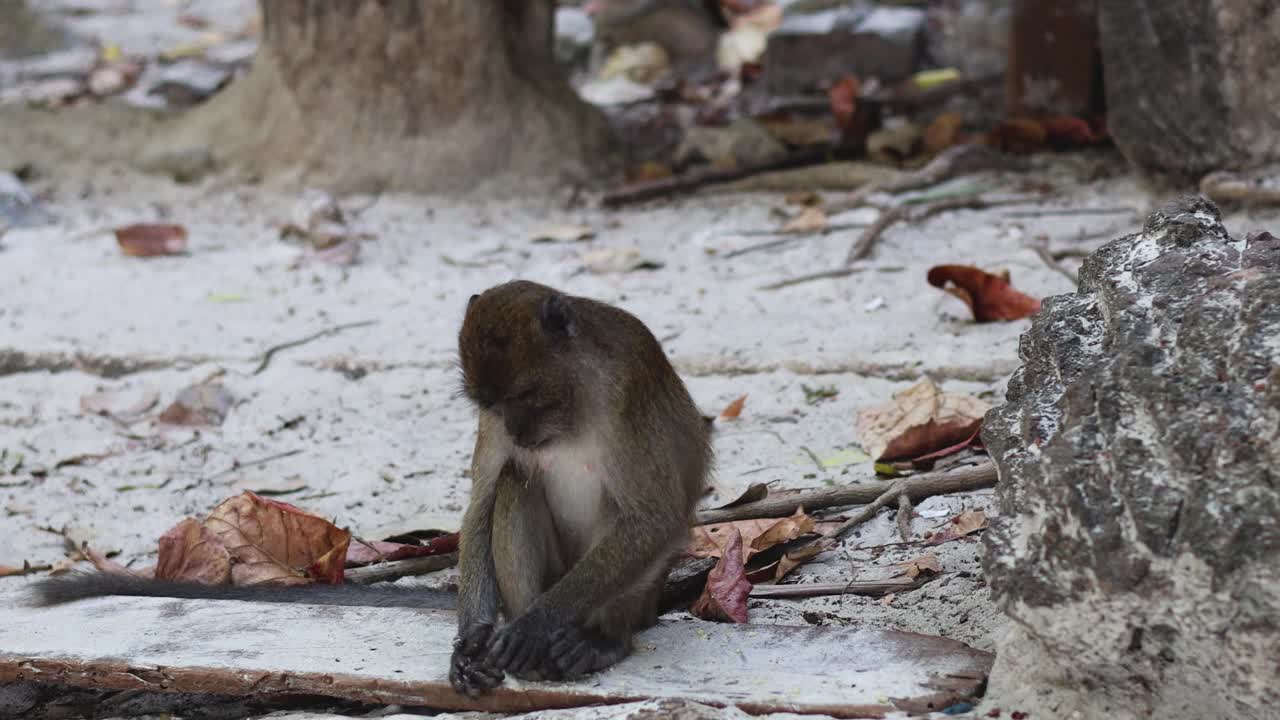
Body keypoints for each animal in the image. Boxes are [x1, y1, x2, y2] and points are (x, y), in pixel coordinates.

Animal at [30, 280, 716, 696]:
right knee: (516, 482)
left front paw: (542, 627)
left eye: (527, 396)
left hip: (631, 597)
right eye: (492, 404)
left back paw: (592, 641)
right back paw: (513, 633)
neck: (572, 399)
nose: (519, 429)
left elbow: (653, 517)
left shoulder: (625, 387)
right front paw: (471, 644)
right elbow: (481, 504)